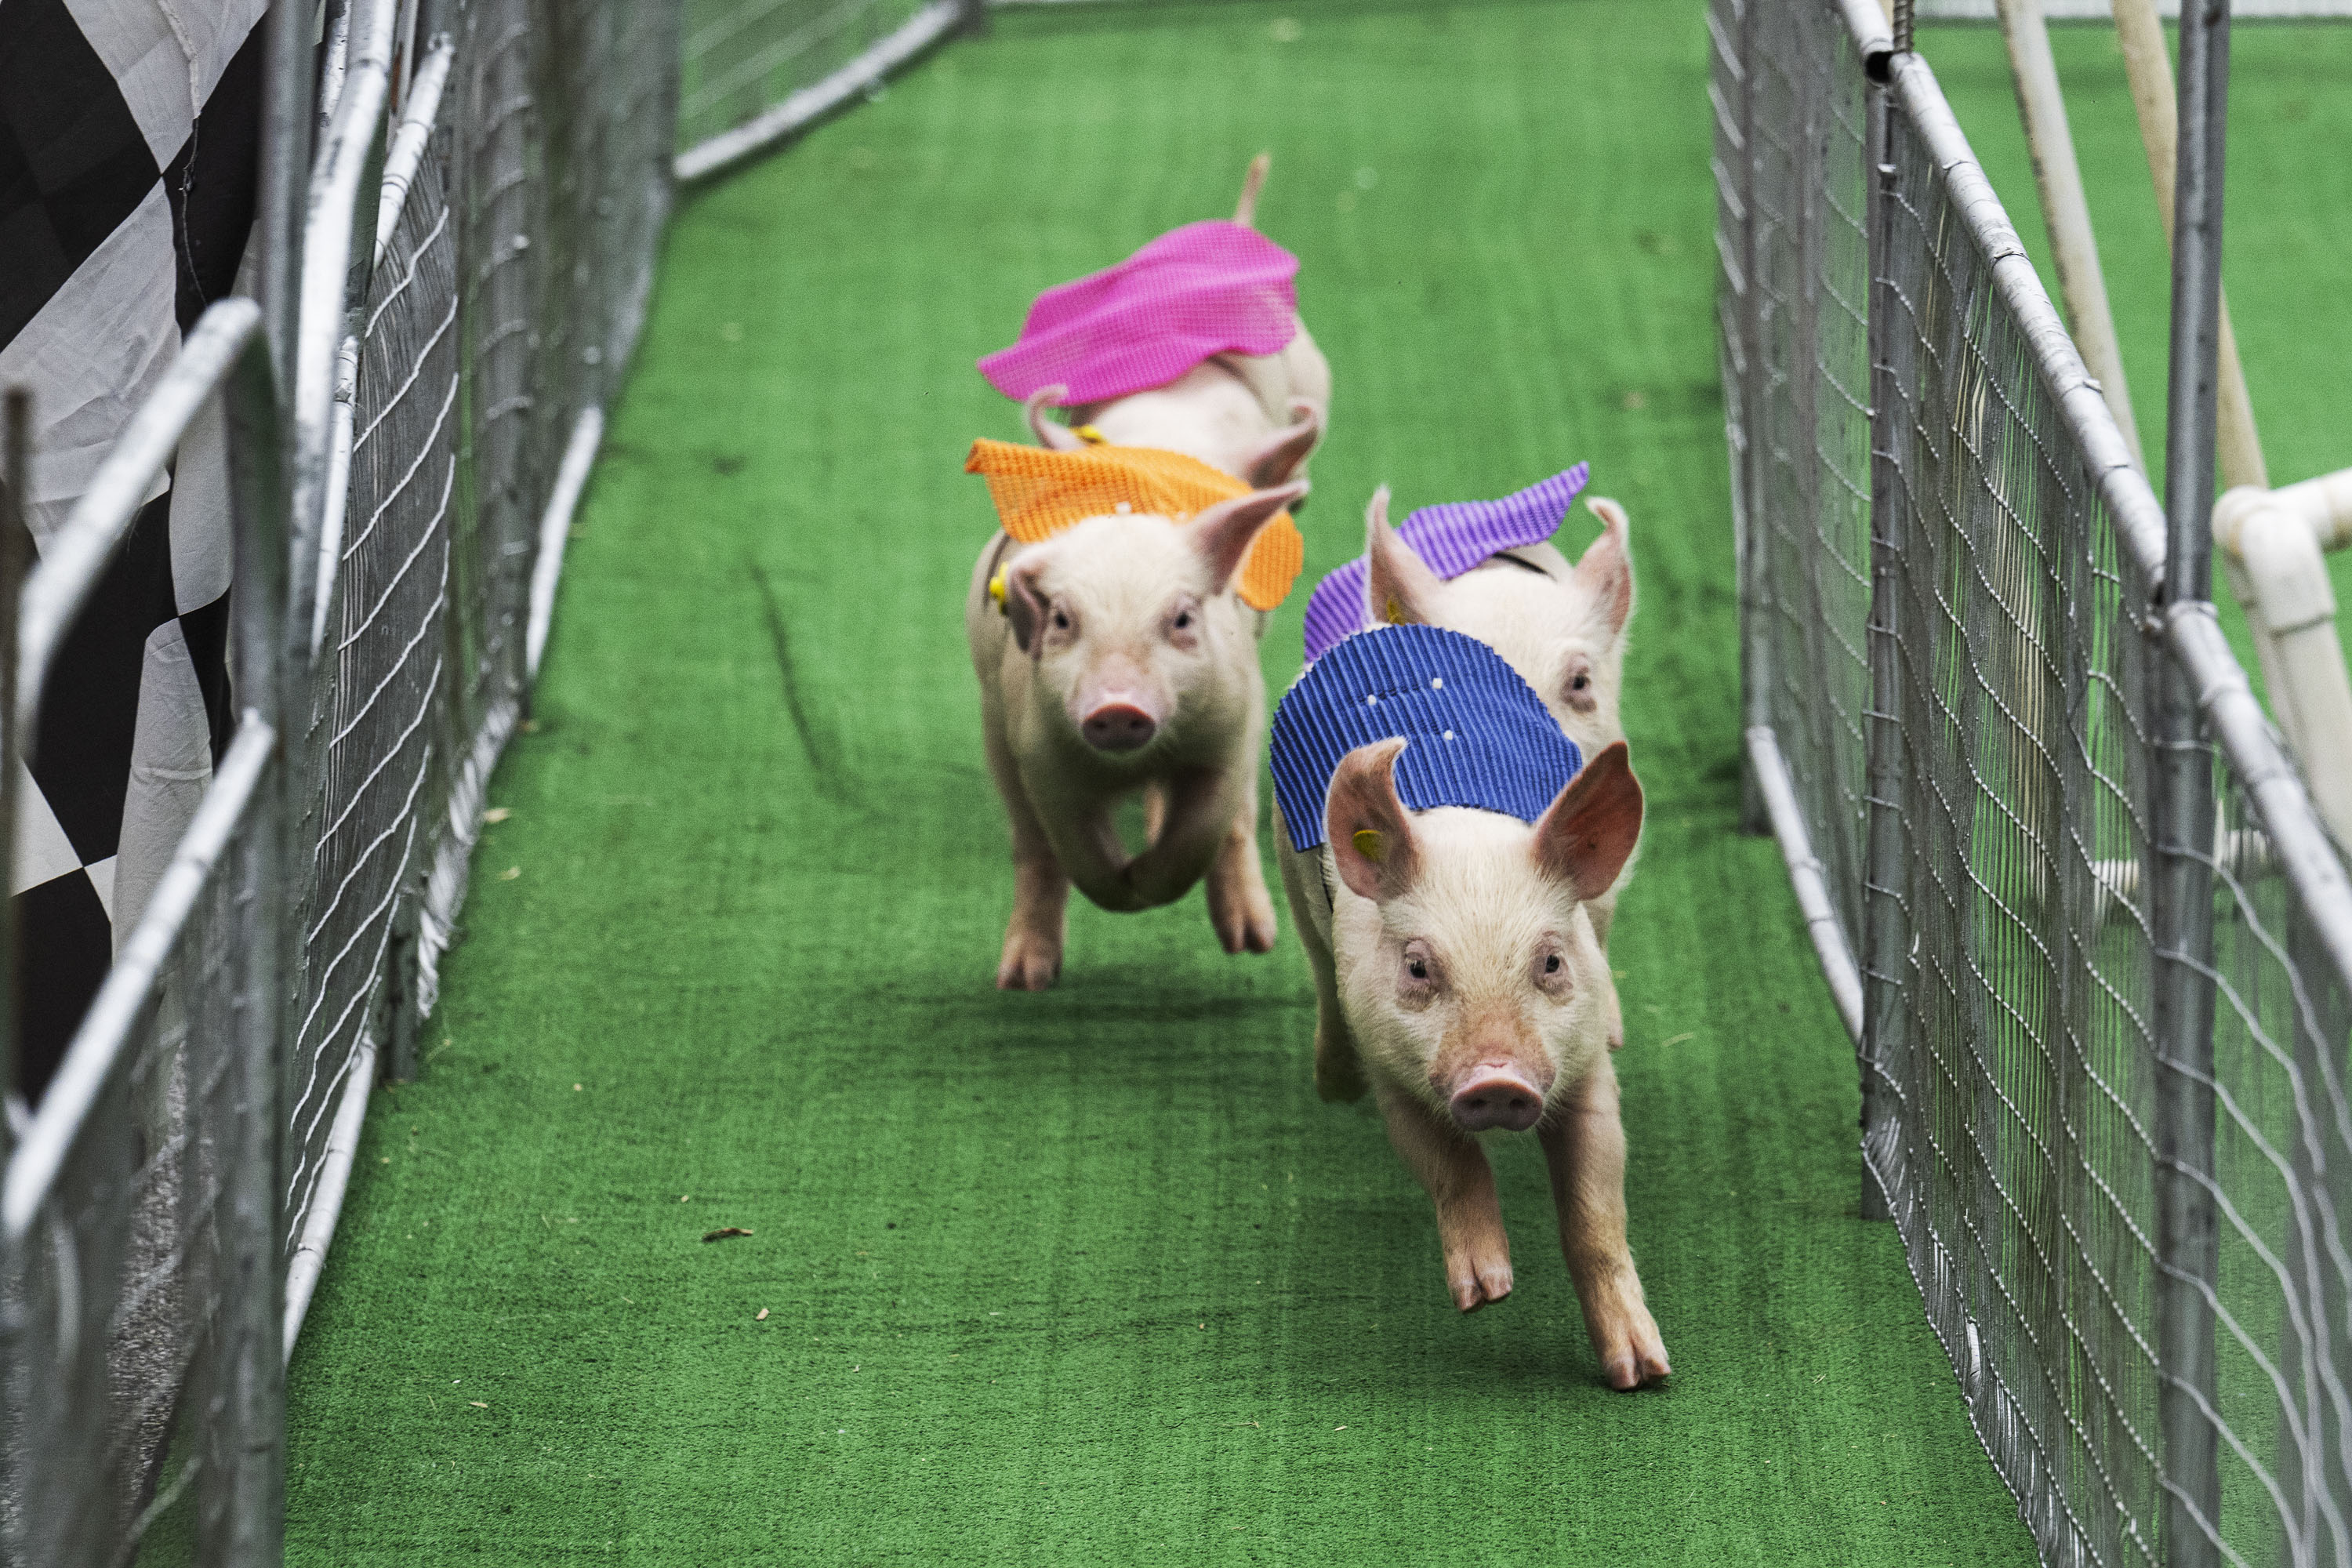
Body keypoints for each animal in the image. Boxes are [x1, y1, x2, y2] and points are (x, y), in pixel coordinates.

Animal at [968, 480, 1307, 990]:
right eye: (1062, 620)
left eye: (1182, 618)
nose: (1118, 705)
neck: (1134, 765)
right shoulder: (1041, 756)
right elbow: (1080, 853)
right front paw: (1128, 886)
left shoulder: (1227, 734)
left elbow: (1201, 832)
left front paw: (1144, 877)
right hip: (996, 732)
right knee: (1032, 848)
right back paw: (1022, 981)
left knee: (1240, 824)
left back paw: (1253, 942)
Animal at [1272, 730, 1668, 1389]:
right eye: (1417, 967)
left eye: (1552, 962)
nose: (1497, 1078)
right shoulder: (1392, 1072)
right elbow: (1449, 1164)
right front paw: (1487, 1296)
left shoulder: (1586, 1070)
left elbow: (1595, 1212)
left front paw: (1642, 1373)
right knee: (1315, 961)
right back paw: (1333, 1085)